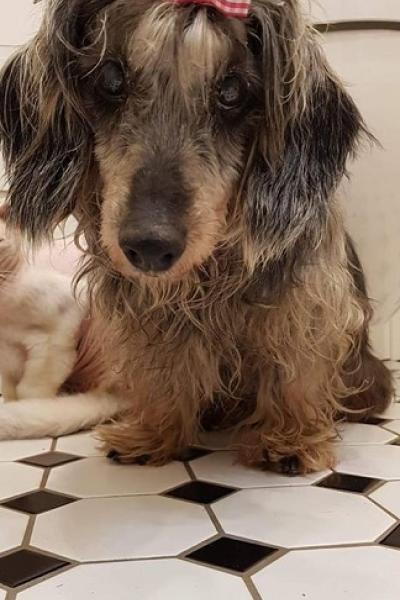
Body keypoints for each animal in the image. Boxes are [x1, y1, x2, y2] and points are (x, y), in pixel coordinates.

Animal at [0, 0, 393, 472]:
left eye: (232, 90)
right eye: (111, 79)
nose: (149, 247)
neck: (210, 273)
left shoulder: (306, 302)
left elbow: (294, 366)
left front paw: (288, 438)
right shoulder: (149, 312)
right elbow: (164, 366)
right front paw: (156, 431)